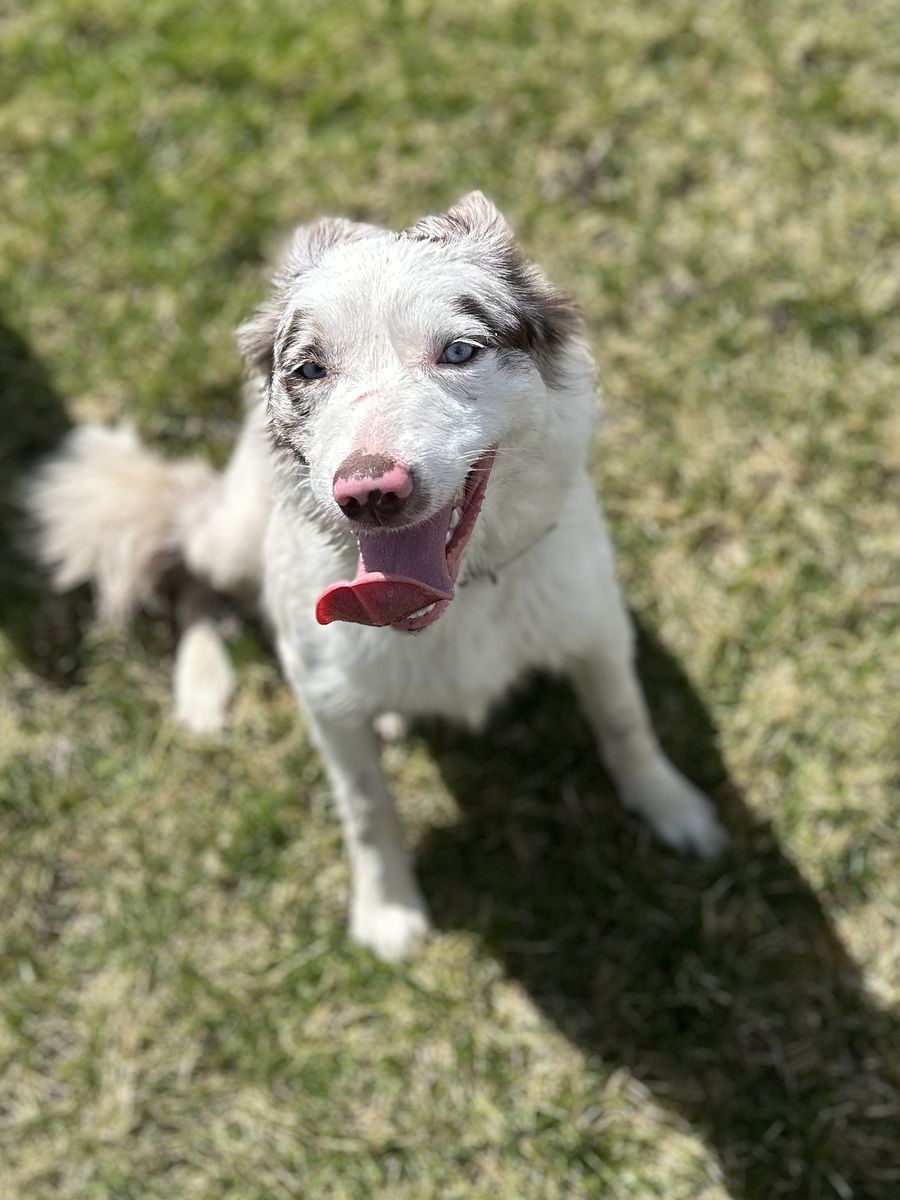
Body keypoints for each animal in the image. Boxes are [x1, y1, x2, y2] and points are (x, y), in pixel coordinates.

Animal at [26, 191, 726, 961]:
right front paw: (387, 909)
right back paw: (204, 689)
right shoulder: (324, 700)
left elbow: (628, 724)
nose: (368, 492)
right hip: (231, 534)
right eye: (309, 371)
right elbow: (365, 806)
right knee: (191, 578)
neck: (462, 597)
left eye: (459, 351)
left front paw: (673, 807)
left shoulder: (595, 628)